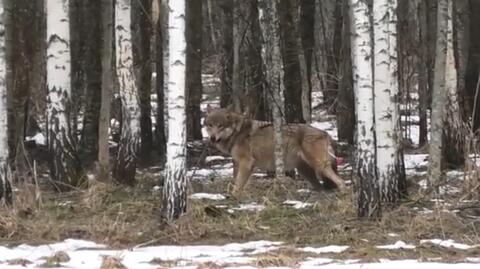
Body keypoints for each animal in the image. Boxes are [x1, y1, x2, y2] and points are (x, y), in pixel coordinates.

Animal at [202, 105, 344, 197]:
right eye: (210, 125)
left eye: (220, 126)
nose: (212, 138)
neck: (237, 133)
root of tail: (326, 133)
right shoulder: (245, 165)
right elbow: (241, 182)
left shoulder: (246, 162)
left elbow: (238, 184)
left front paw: (234, 196)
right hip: (305, 171)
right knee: (321, 187)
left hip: (319, 166)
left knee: (341, 182)